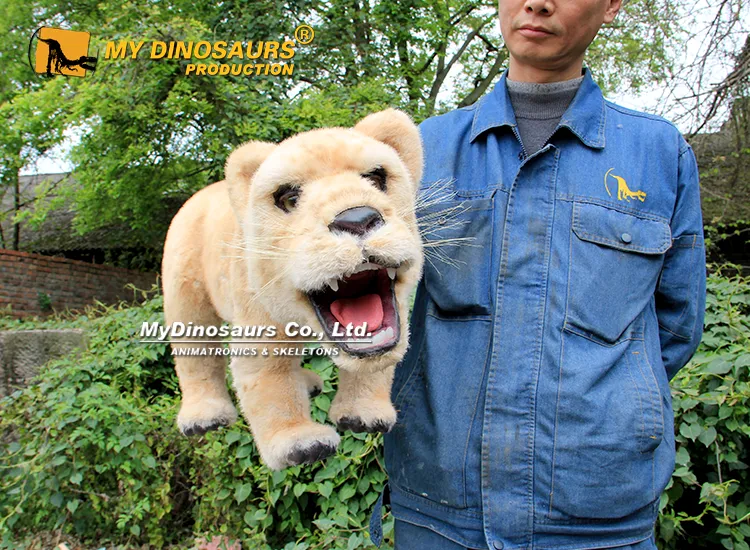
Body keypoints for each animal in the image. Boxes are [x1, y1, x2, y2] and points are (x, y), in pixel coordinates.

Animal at [161, 109, 425, 470]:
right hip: (186, 286)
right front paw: (300, 442)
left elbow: (374, 368)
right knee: (194, 350)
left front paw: (362, 415)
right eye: (288, 198)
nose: (357, 219)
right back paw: (204, 418)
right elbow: (270, 382)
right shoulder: (259, 321)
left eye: (376, 178)